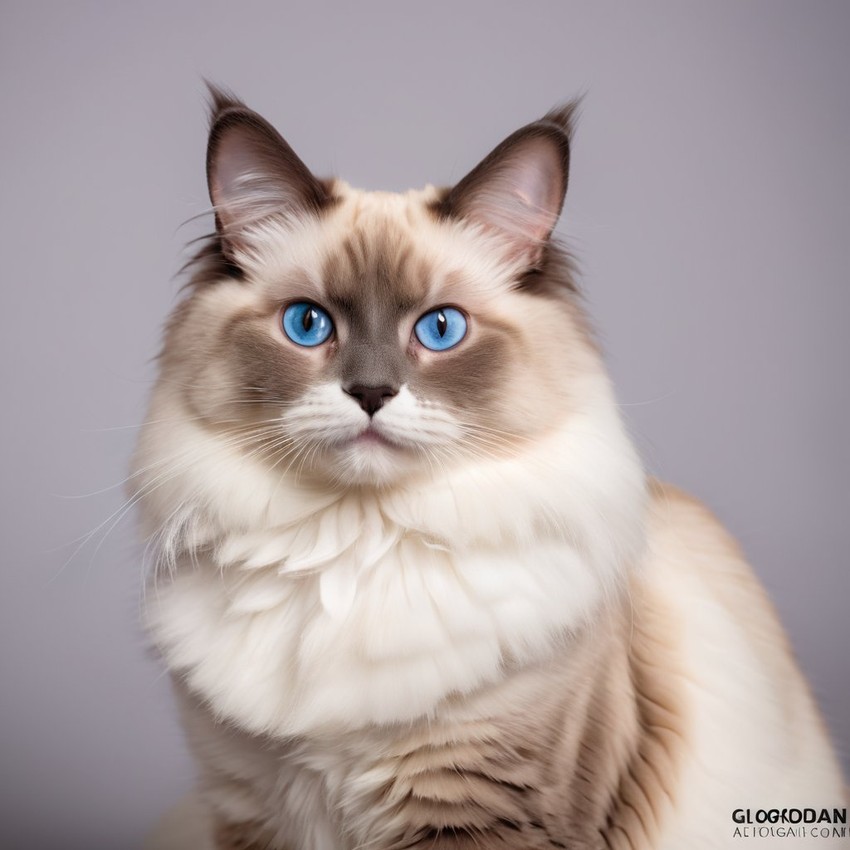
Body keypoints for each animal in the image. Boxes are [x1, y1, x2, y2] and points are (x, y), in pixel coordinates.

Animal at [136, 88, 844, 848]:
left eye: (440, 329)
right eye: (308, 324)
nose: (371, 394)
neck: (354, 548)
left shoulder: (484, 808)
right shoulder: (248, 811)